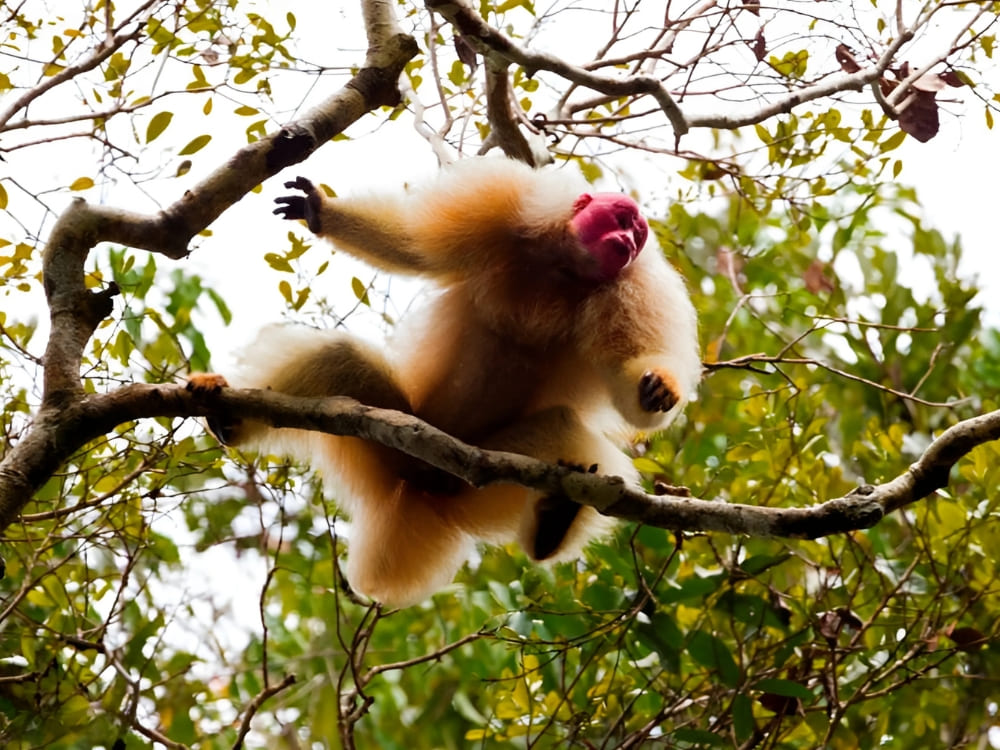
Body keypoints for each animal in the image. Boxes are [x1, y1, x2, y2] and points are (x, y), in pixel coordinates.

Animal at [189, 157, 704, 604]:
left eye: (637, 233)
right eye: (621, 219)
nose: (628, 240)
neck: (563, 267)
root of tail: (426, 481)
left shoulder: (633, 285)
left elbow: (630, 389)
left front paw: (658, 388)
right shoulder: (498, 208)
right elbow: (413, 247)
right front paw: (321, 212)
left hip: (481, 475)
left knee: (560, 427)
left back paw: (552, 526)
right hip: (394, 427)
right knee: (337, 360)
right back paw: (229, 417)